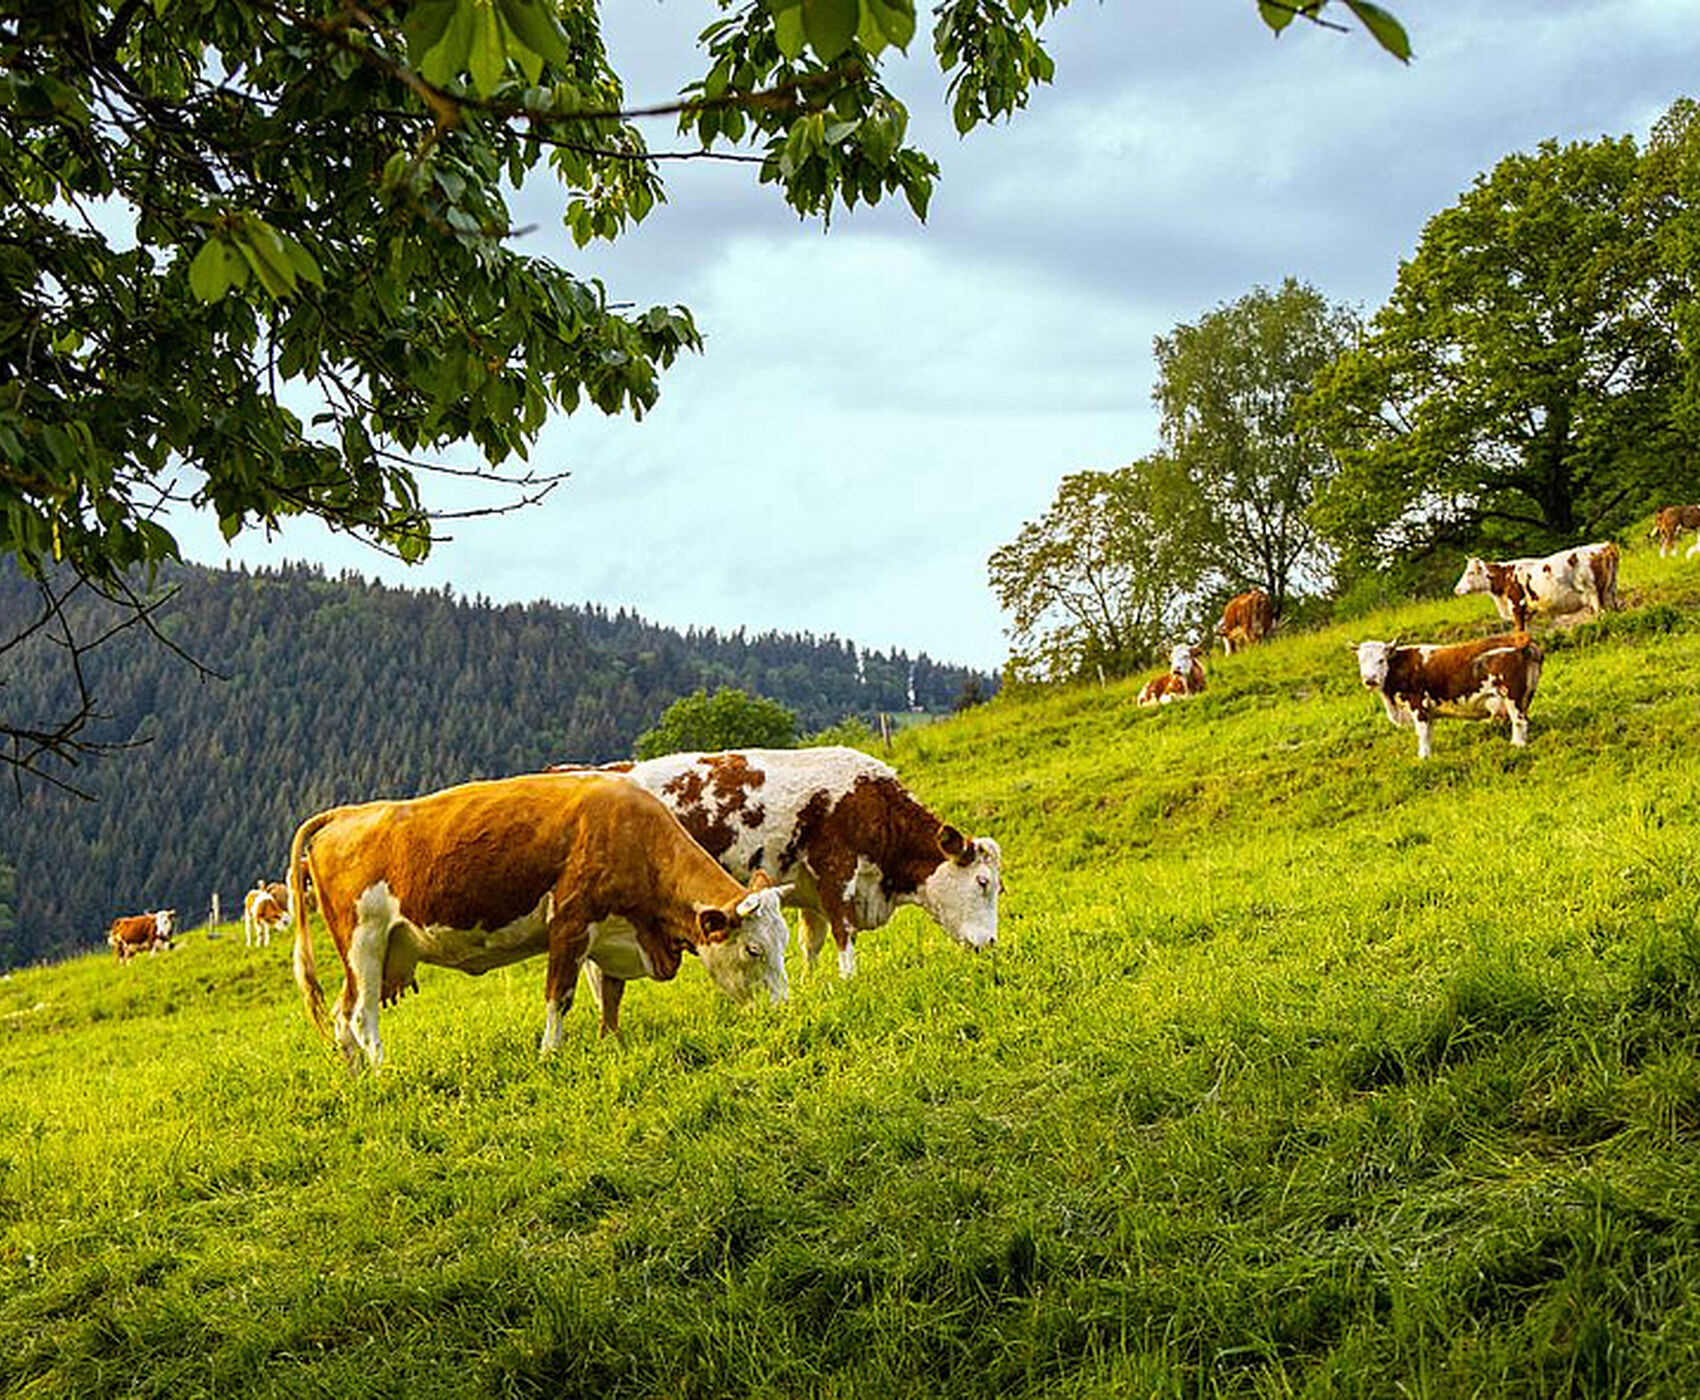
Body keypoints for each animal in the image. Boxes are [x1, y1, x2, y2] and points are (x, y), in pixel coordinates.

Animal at [289, 771, 792, 1080]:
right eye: (753, 950)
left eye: (783, 943)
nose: (784, 1010)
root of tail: (348, 813)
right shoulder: (570, 922)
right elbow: (560, 995)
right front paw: (550, 1052)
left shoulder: (612, 932)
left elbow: (611, 994)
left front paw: (611, 1043)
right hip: (364, 941)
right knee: (361, 1014)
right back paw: (381, 1070)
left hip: (372, 953)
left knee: (341, 1013)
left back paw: (356, 1075)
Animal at [557, 747, 999, 978]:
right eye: (982, 882)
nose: (992, 943)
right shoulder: (837, 872)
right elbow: (843, 933)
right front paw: (848, 980)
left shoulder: (809, 889)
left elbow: (812, 941)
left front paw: (813, 985)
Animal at [1353, 635, 1543, 761]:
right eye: (1361, 661)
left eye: (1381, 660)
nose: (1369, 679)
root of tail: (1521, 639)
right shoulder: (1428, 711)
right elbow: (1428, 733)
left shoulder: (1418, 705)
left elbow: (1422, 733)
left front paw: (1423, 757)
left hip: (1512, 696)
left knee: (1519, 721)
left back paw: (1516, 745)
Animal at [1448, 540, 1618, 628]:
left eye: (1470, 572)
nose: (1456, 589)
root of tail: (1604, 545)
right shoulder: (1526, 611)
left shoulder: (1517, 605)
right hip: (1609, 591)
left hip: (1594, 593)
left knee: (1602, 614)